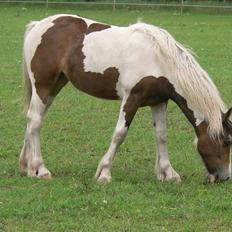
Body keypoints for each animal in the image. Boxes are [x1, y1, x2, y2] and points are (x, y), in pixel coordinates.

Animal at [19, 14, 232, 183]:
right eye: (226, 141)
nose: (224, 177)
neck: (159, 60)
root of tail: (38, 25)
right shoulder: (132, 97)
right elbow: (120, 133)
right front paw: (104, 173)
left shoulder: (158, 101)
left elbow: (161, 135)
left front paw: (168, 174)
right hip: (43, 85)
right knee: (35, 121)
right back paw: (41, 169)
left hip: (53, 88)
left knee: (32, 120)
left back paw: (28, 167)